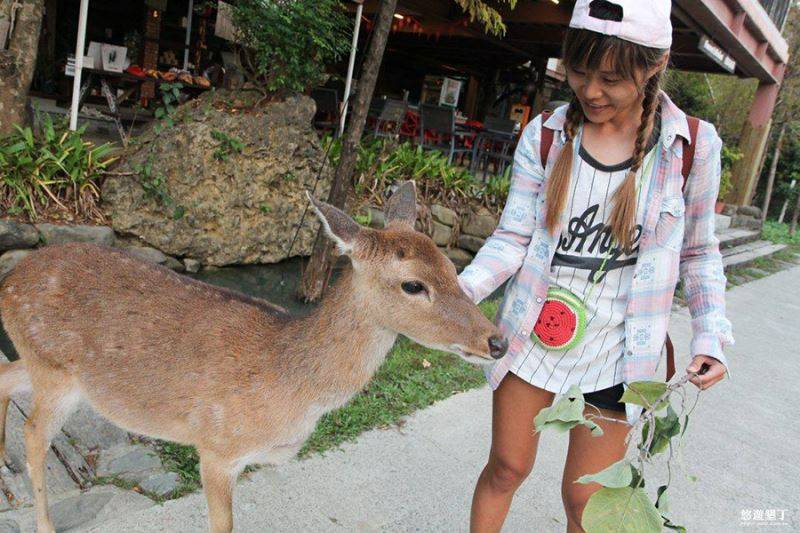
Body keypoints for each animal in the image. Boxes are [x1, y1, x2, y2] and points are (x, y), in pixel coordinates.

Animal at [0, 181, 506, 528]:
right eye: (413, 285)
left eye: (452, 267)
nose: (496, 341)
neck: (292, 384)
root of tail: (9, 283)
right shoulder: (216, 446)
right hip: (55, 370)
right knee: (33, 432)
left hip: (42, 363)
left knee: (6, 376)